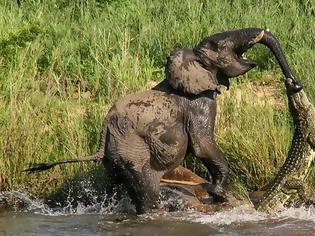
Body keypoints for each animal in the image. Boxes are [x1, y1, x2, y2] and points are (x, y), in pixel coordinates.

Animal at [24, 27, 302, 214]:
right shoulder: (199, 103)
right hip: (132, 150)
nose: (294, 83)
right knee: (147, 190)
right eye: (216, 45)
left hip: (114, 156)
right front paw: (219, 194)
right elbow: (203, 145)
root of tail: (105, 131)